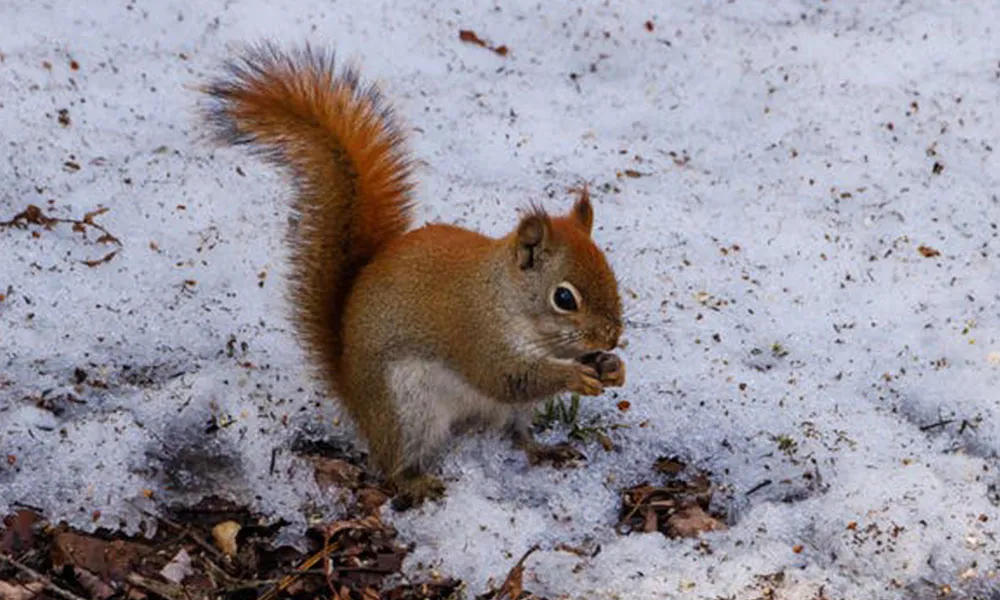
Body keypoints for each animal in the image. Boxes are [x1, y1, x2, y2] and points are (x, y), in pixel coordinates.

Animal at [202, 44, 624, 504]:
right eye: (564, 297)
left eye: (612, 274)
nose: (613, 337)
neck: (507, 299)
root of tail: (353, 392)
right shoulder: (475, 334)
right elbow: (505, 376)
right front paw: (573, 375)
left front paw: (611, 366)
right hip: (407, 406)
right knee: (393, 464)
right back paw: (418, 482)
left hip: (486, 412)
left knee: (515, 435)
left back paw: (544, 450)